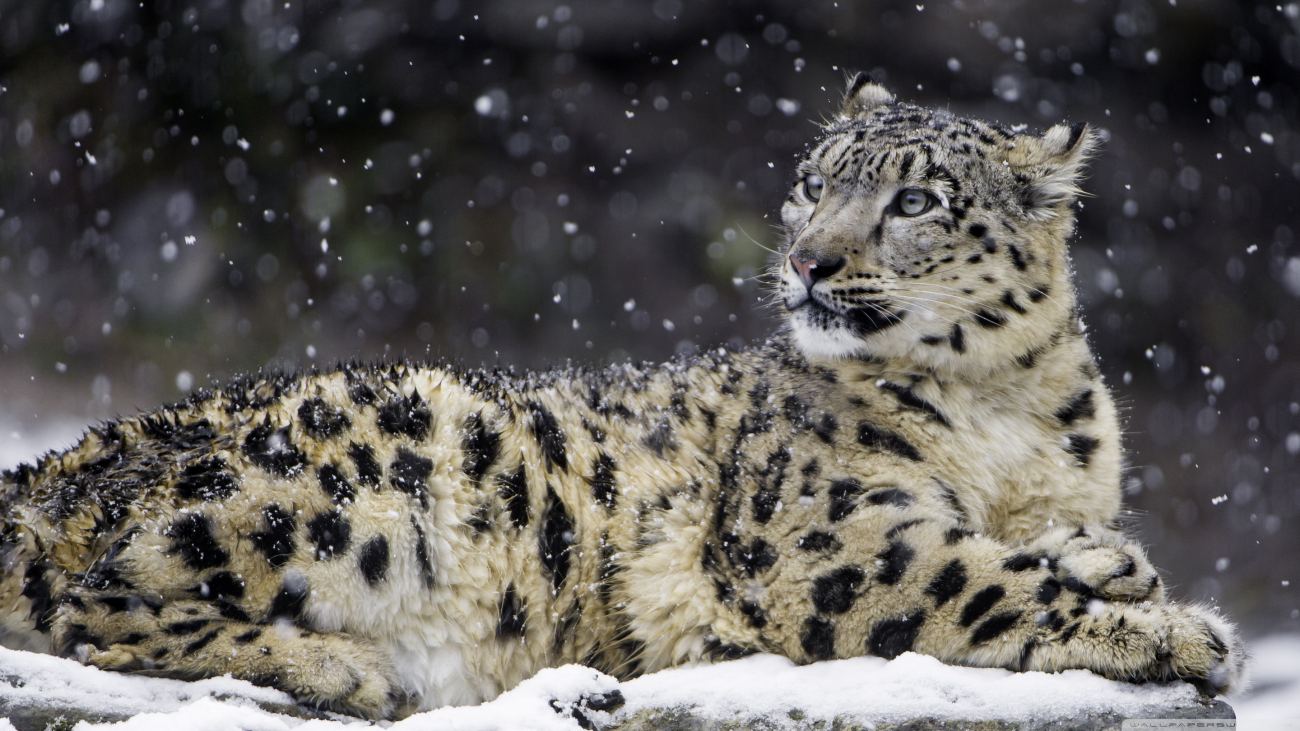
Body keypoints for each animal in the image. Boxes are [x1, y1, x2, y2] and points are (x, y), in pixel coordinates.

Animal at [0, 75, 1245, 720]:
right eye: (810, 184)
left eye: (916, 201)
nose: (810, 261)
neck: (1005, 412)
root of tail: (57, 460)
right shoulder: (824, 533)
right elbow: (974, 577)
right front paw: (1172, 630)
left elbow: (1034, 543)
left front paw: (1112, 559)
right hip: (359, 473)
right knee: (95, 604)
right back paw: (336, 665)